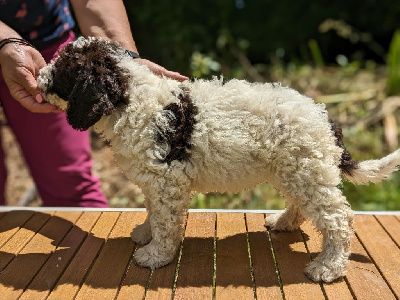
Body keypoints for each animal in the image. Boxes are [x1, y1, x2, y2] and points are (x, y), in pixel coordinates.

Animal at [37, 36, 400, 282]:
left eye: (65, 70)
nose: (39, 77)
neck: (129, 97)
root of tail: (325, 117)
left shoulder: (167, 182)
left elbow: (166, 222)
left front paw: (155, 255)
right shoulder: (154, 181)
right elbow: (153, 212)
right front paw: (144, 232)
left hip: (308, 170)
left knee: (339, 218)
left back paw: (329, 266)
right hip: (296, 170)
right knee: (305, 205)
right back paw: (284, 222)